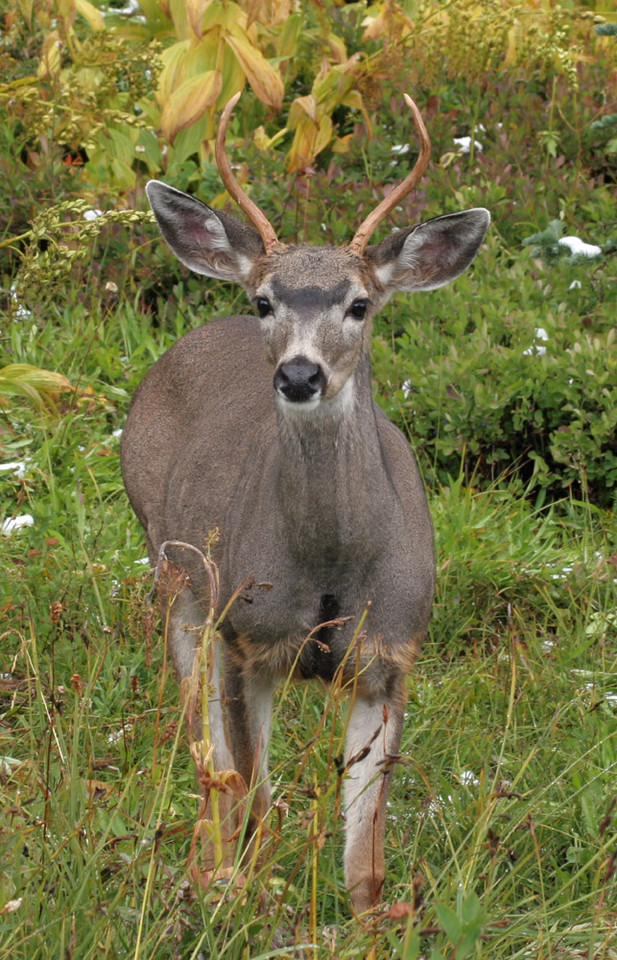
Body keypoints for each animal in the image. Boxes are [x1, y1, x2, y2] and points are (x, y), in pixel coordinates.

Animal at [121, 92, 490, 916]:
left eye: (359, 304)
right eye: (265, 299)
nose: (298, 375)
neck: (327, 566)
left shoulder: (393, 652)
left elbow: (365, 860)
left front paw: (369, 918)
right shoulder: (243, 636)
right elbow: (254, 796)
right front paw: (248, 895)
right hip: (176, 578)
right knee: (209, 764)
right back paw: (207, 870)